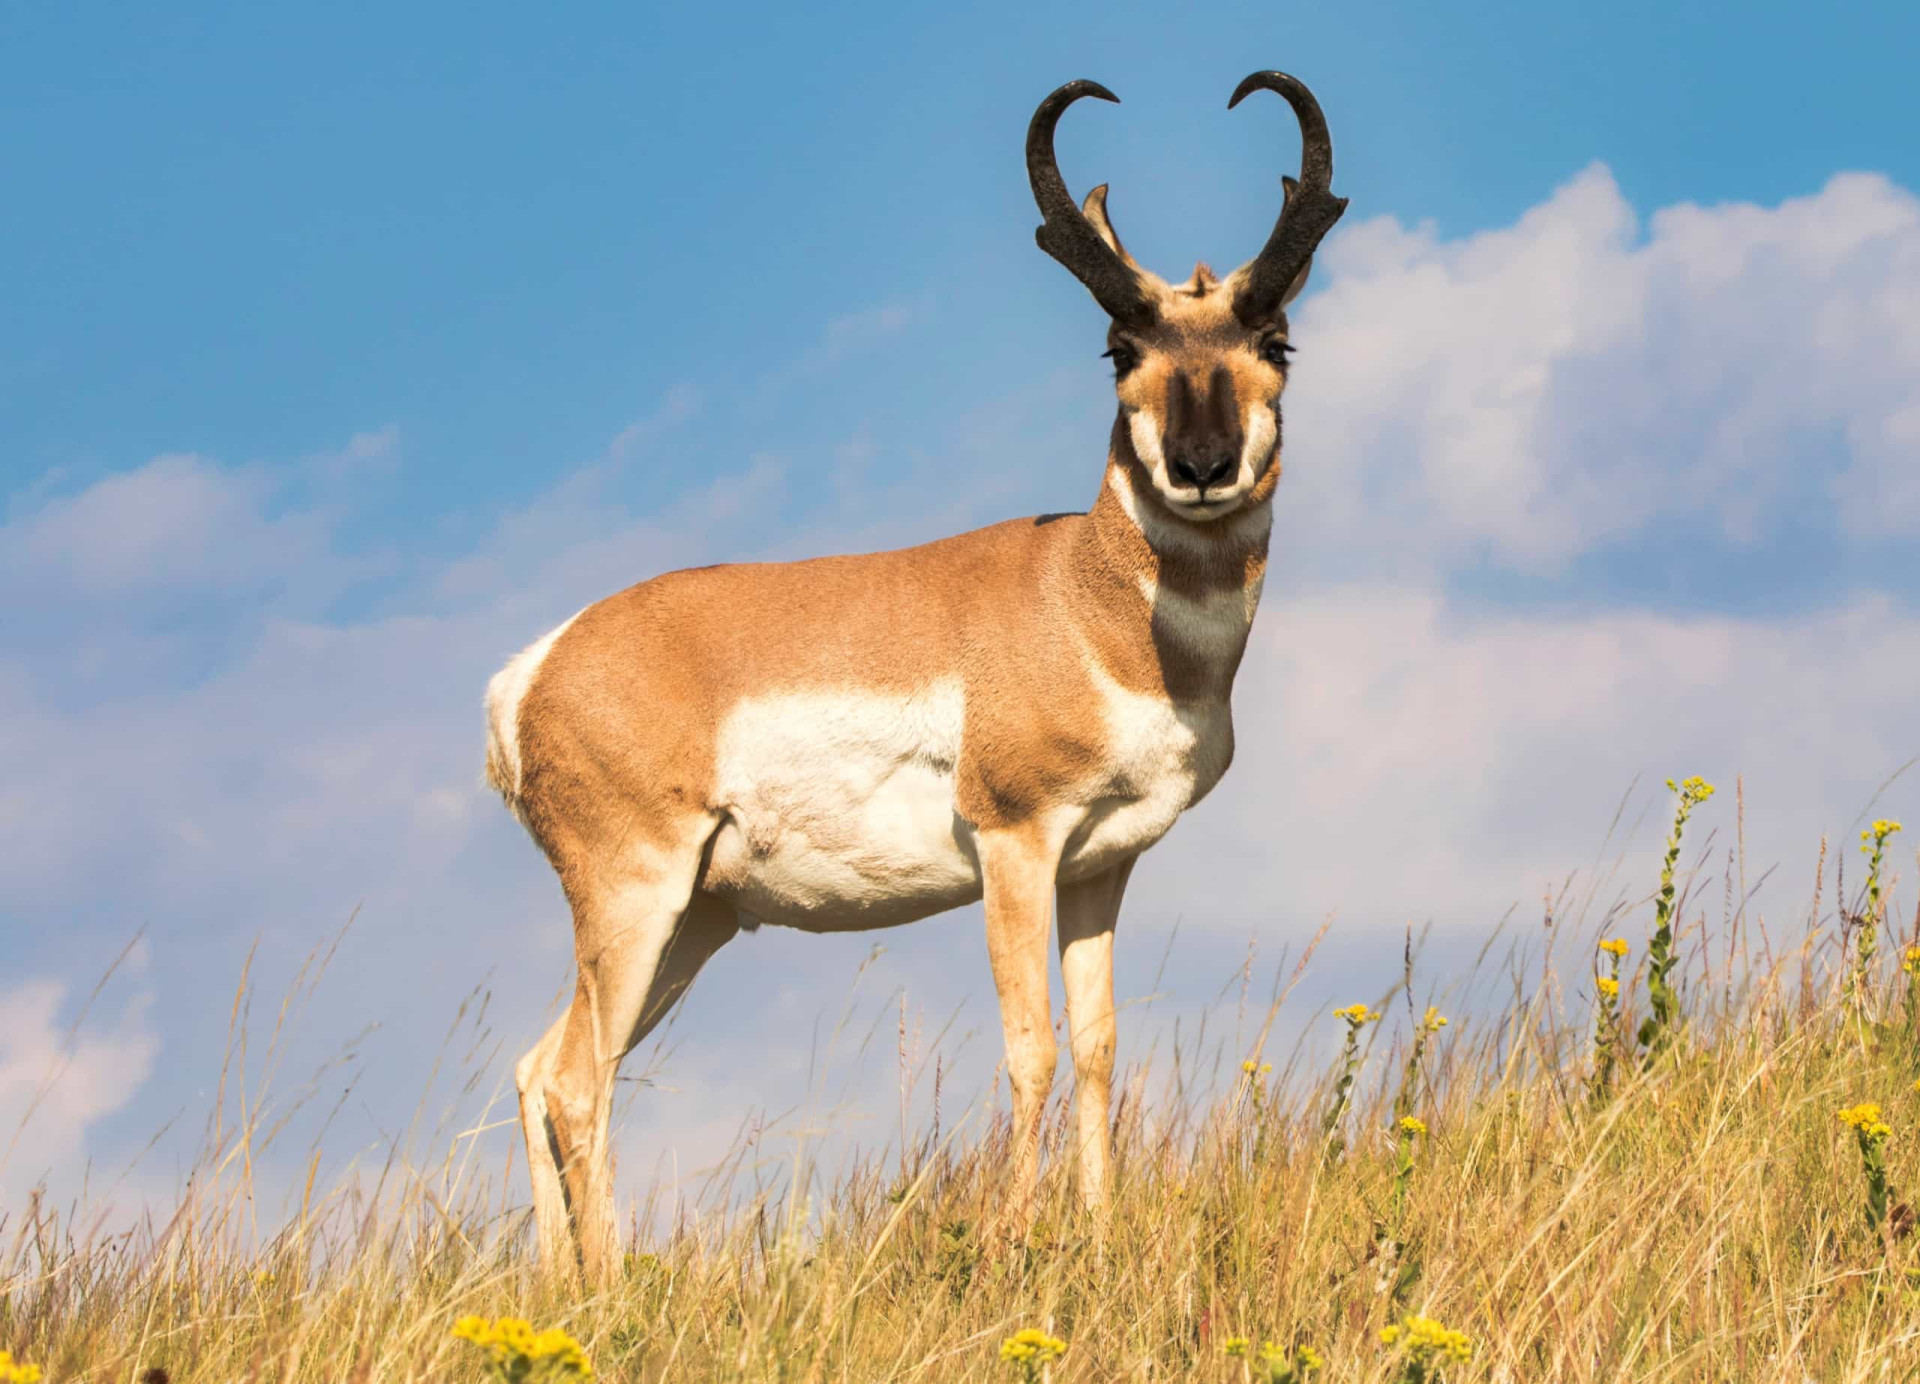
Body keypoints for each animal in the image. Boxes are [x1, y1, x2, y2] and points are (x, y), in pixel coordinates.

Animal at [487, 70, 1344, 1282]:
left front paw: (1096, 1233)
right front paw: (1023, 1240)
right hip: (634, 898)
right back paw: (607, 1288)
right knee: (573, 1080)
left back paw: (564, 1285)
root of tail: (536, 668)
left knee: (540, 1068)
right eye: (1118, 349)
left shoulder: (1100, 867)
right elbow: (1032, 1048)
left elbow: (1098, 1048)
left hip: (694, 919)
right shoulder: (1015, 843)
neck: (1082, 595)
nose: (1203, 466)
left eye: (1278, 338)